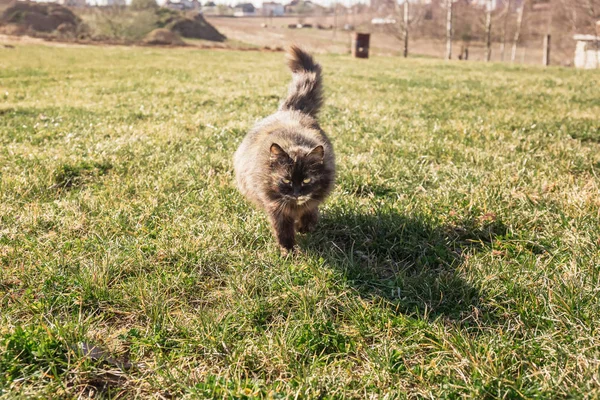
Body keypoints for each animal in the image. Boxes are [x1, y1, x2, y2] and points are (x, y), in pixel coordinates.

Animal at [234, 46, 336, 253]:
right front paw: (288, 251)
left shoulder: (313, 199)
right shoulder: (276, 207)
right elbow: (283, 230)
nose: (297, 193)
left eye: (306, 180)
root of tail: (290, 110)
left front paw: (306, 226)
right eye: (287, 180)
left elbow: (310, 210)